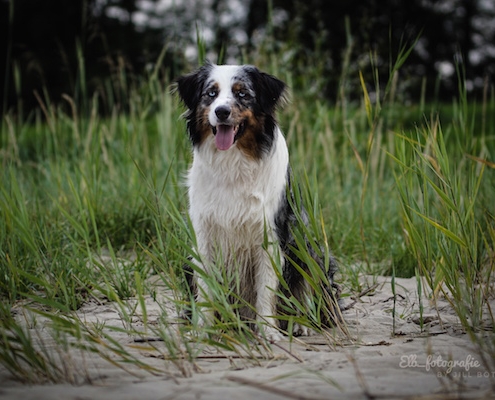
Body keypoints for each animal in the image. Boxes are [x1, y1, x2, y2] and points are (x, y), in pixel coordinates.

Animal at [175, 62, 340, 340]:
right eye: (211, 93)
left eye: (242, 94)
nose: (221, 111)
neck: (233, 162)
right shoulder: (204, 236)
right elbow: (206, 287)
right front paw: (204, 329)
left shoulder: (271, 235)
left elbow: (266, 288)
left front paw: (268, 331)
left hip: (309, 251)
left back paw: (300, 324)